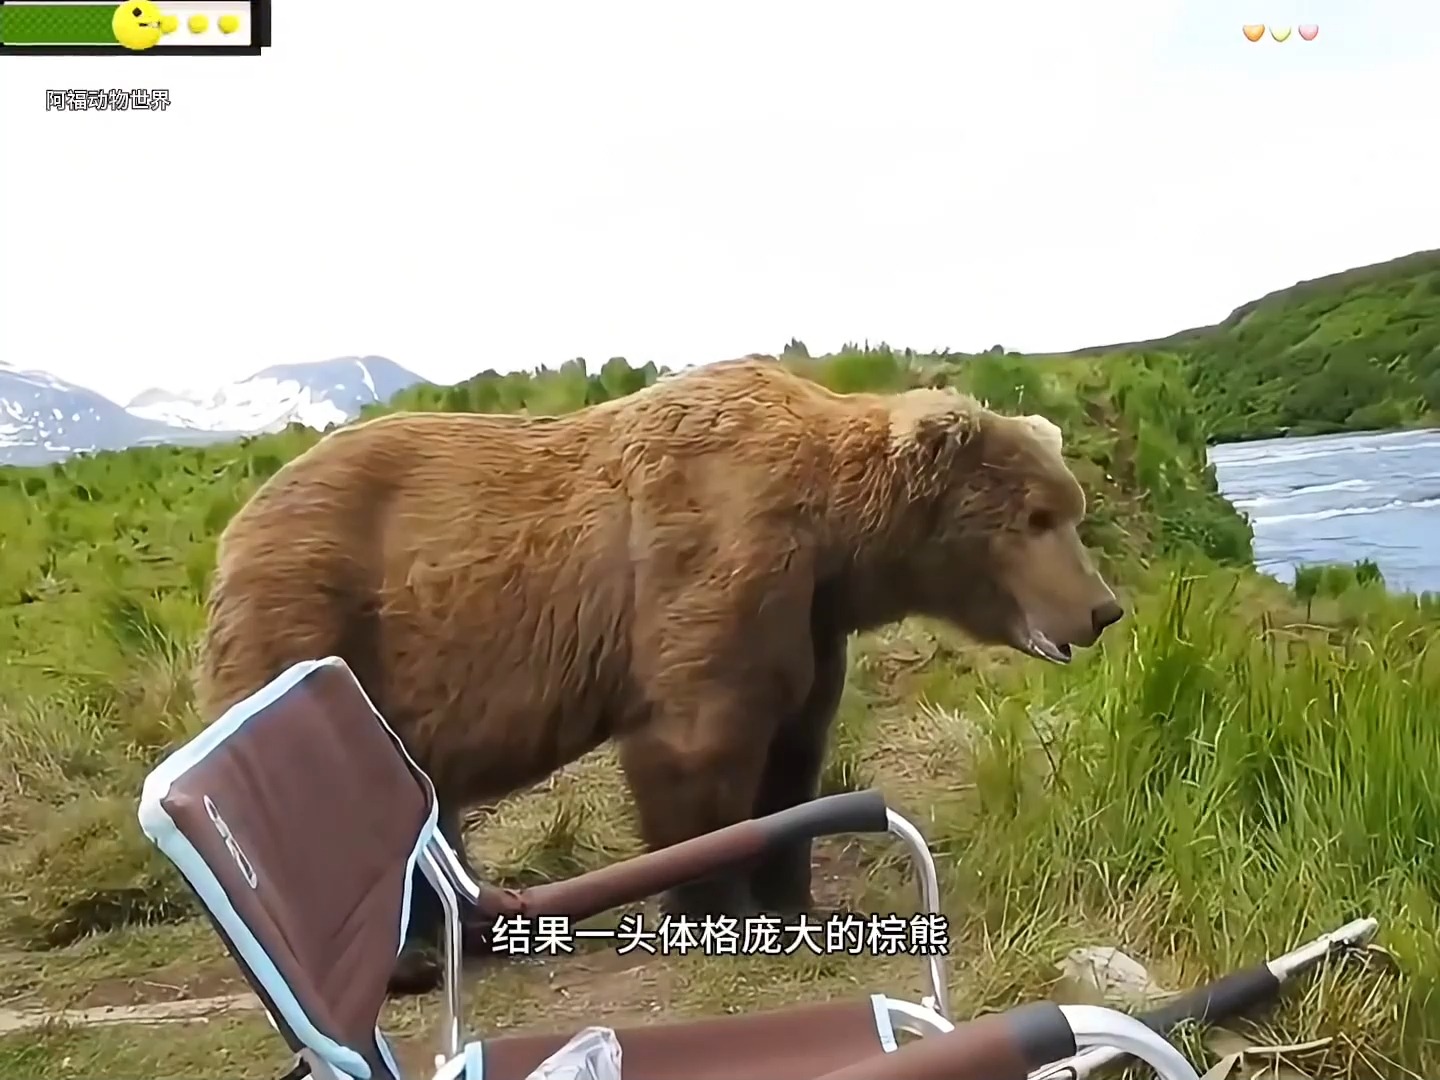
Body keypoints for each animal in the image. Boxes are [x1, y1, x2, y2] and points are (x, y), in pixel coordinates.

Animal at [196, 355, 1123, 993]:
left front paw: (794, 898)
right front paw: (717, 907)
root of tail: (236, 526)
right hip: (318, 623)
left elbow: (795, 750)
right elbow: (698, 745)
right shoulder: (714, 563)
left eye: (1069, 510)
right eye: (1037, 517)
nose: (1102, 609)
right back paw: (409, 960)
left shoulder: (811, 620)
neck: (837, 538)